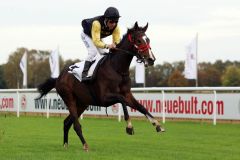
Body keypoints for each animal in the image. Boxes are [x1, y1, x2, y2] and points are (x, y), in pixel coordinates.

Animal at [37, 22, 165, 151]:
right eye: (138, 40)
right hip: (69, 99)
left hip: (82, 103)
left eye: (148, 39)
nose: (151, 59)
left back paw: (65, 145)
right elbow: (122, 100)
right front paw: (129, 127)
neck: (117, 69)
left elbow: (141, 107)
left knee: (67, 122)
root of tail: (59, 77)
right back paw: (85, 145)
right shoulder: (104, 98)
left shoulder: (127, 94)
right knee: (76, 125)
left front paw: (157, 125)